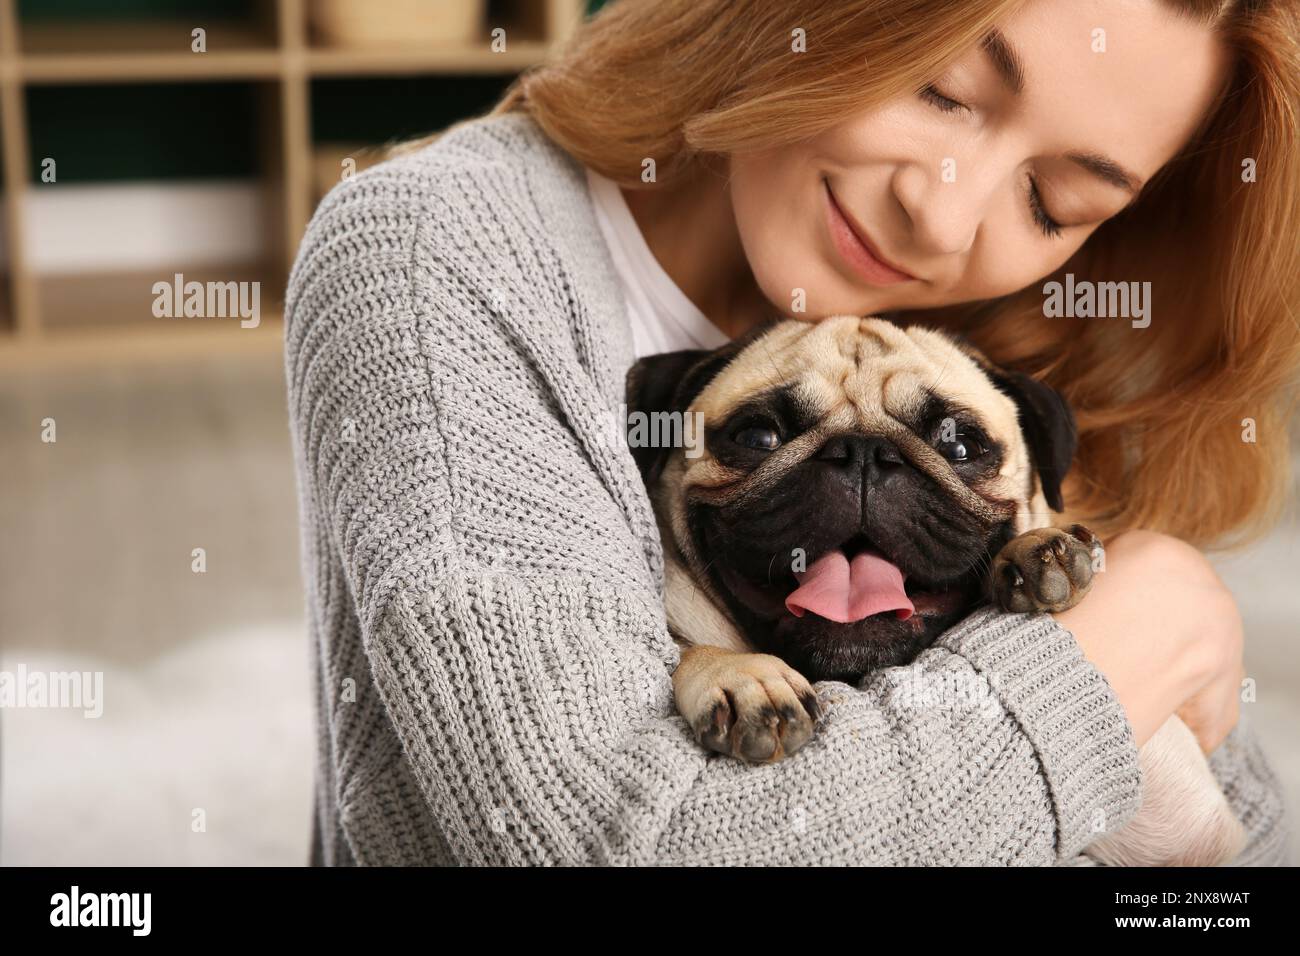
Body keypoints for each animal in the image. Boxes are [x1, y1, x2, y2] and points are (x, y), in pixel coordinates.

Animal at [629, 317, 1248, 868]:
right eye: (759, 437)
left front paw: (1037, 552)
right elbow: (692, 650)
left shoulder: (1182, 817)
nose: (862, 452)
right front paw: (739, 676)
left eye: (960, 448)